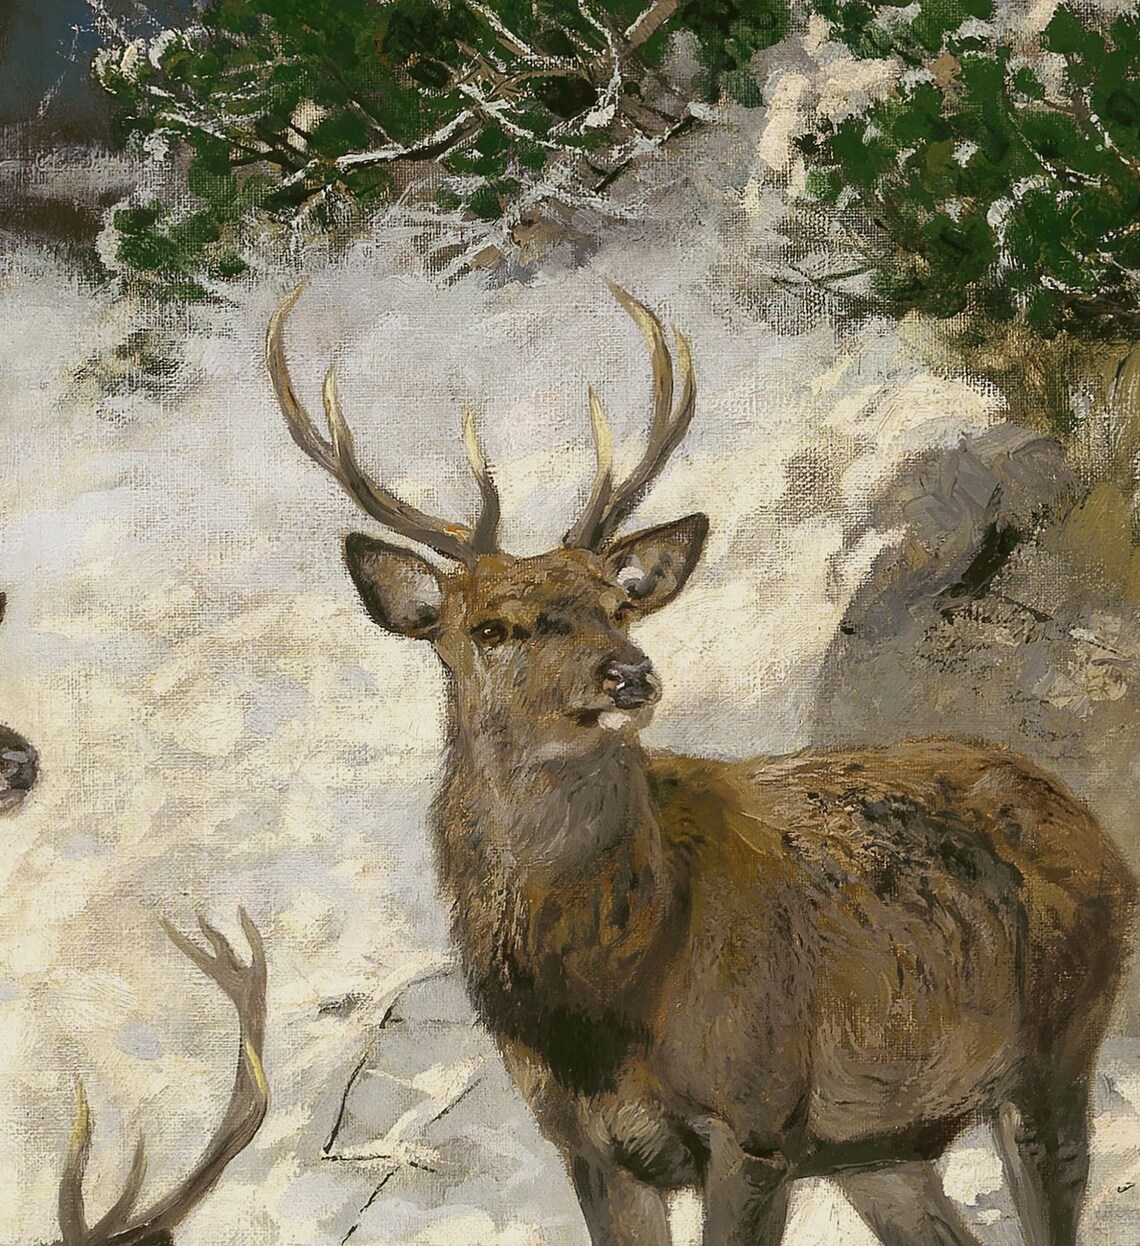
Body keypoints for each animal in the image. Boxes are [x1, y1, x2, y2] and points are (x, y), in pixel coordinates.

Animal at [267, 283, 1137, 1246]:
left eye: (617, 604)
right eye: (491, 628)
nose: (630, 674)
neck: (610, 992)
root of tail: (1087, 819)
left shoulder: (756, 1116)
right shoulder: (588, 1145)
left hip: (1057, 1047)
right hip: (879, 1144)